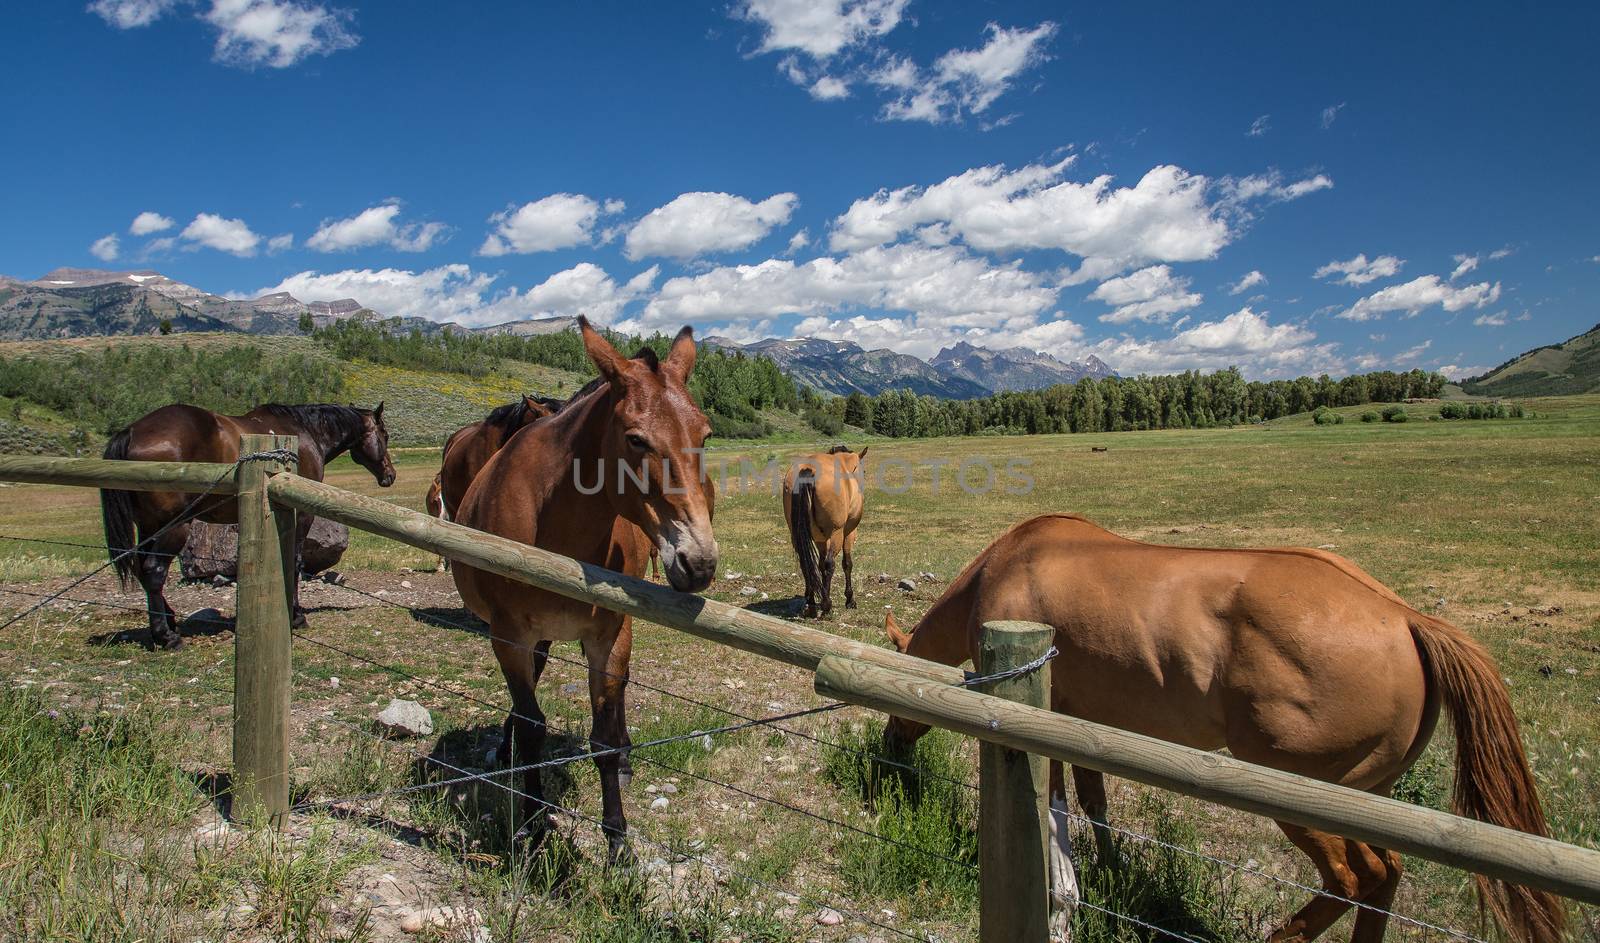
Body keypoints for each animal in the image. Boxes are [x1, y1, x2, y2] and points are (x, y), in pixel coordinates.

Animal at [100, 400, 396, 650]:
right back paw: (167, 636)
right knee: (154, 570)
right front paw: (296, 616)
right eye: (385, 435)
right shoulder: (301, 514)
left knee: (143, 568)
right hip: (174, 526)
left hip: (149, 526)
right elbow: (295, 561)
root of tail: (132, 432)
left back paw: (169, 622)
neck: (305, 433)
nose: (390, 475)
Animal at [457, 320, 720, 858]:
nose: (698, 562)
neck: (556, 527)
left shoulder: (607, 635)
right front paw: (533, 821)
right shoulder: (509, 636)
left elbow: (602, 742)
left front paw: (617, 840)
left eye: (704, 434)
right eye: (636, 440)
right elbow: (533, 725)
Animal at [784, 448, 870, 617]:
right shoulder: (848, 534)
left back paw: (811, 603)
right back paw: (826, 605)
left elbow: (819, 564)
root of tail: (808, 469)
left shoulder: (820, 539)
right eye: (863, 470)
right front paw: (849, 599)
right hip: (837, 533)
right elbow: (846, 564)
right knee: (831, 563)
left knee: (806, 563)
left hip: (798, 535)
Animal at [876, 512, 1561, 941]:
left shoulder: (1047, 723)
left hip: (1306, 800)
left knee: (1356, 878)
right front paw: (1113, 874)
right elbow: (1095, 805)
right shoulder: (1085, 725)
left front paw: (1067, 897)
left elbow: (1058, 815)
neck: (1005, 566)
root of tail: (1405, 617)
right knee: (1386, 876)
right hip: (1372, 797)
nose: (887, 760)